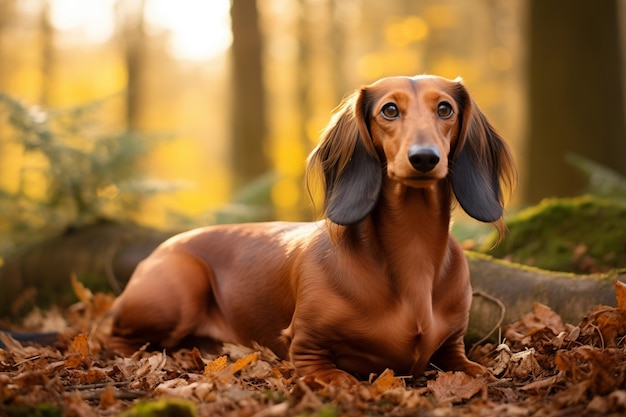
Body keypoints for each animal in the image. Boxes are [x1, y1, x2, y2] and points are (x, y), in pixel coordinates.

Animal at [109, 74, 516, 384]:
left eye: (445, 108)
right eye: (389, 109)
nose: (425, 158)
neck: (412, 251)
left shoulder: (454, 347)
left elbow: (474, 368)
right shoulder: (305, 344)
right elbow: (335, 373)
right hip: (181, 286)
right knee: (117, 338)